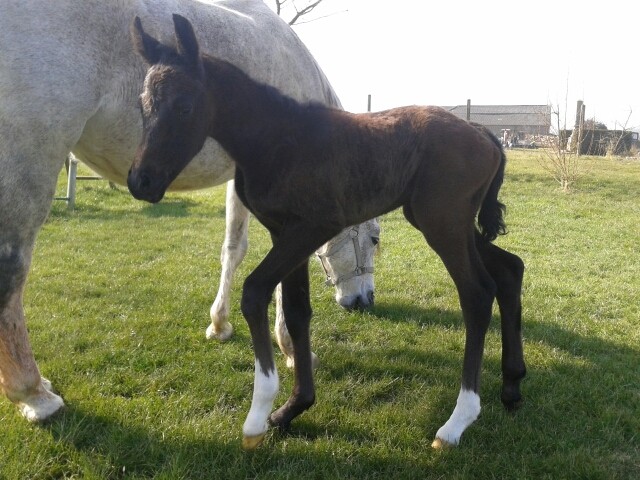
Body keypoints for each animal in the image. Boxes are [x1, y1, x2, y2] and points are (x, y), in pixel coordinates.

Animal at [0, 0, 380, 420]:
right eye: (374, 239)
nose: (364, 300)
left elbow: (232, 249)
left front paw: (219, 324)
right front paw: (293, 349)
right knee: (11, 268)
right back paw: (34, 393)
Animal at [129, 15, 524, 450]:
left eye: (183, 106)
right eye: (142, 106)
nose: (141, 181)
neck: (276, 138)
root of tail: (486, 135)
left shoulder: (313, 227)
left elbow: (255, 292)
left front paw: (257, 417)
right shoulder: (283, 232)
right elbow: (297, 310)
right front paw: (293, 408)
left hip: (443, 223)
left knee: (477, 293)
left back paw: (456, 423)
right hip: (447, 222)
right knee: (510, 269)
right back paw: (512, 386)